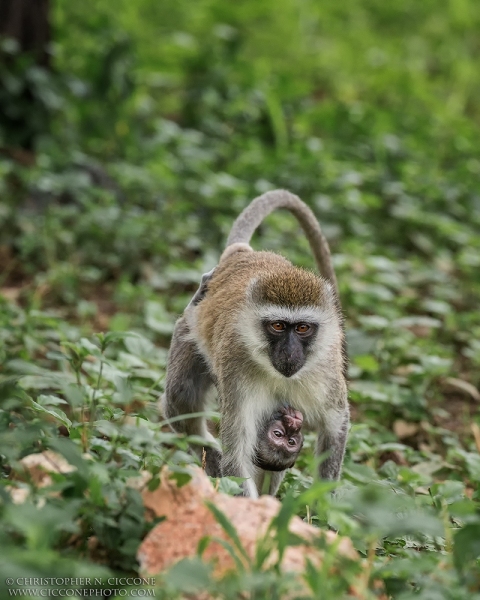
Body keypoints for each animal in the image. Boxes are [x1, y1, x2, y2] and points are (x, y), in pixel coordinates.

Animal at [162, 189, 348, 496]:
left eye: (303, 328)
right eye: (277, 326)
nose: (289, 353)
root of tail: (243, 255)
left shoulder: (326, 372)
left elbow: (335, 427)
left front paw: (321, 505)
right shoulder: (236, 372)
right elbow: (237, 453)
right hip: (188, 331)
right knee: (179, 398)